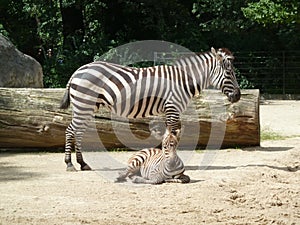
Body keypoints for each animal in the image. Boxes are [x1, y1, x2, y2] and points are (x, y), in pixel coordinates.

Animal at [59, 47, 240, 171]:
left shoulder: (168, 110)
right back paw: (69, 164)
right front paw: (171, 161)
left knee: (78, 132)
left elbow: (169, 136)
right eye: (229, 73)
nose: (238, 96)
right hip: (84, 105)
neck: (182, 81)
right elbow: (173, 136)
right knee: (70, 130)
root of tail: (77, 71)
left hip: (87, 106)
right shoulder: (172, 107)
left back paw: (82, 163)